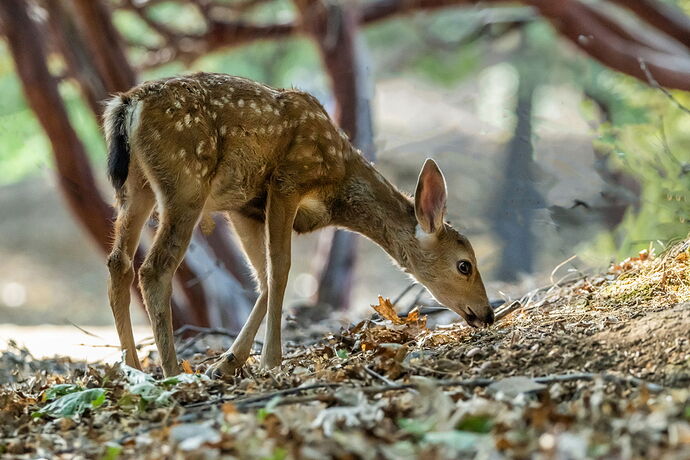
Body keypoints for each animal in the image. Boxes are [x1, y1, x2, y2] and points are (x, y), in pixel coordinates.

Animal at [103, 72, 495, 379]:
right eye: (465, 265)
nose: (488, 314)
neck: (339, 184)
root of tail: (129, 104)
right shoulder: (287, 181)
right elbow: (280, 270)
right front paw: (270, 361)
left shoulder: (244, 206)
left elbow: (262, 278)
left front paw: (228, 363)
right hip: (186, 182)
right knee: (154, 269)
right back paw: (172, 372)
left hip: (135, 187)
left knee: (118, 262)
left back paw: (132, 369)